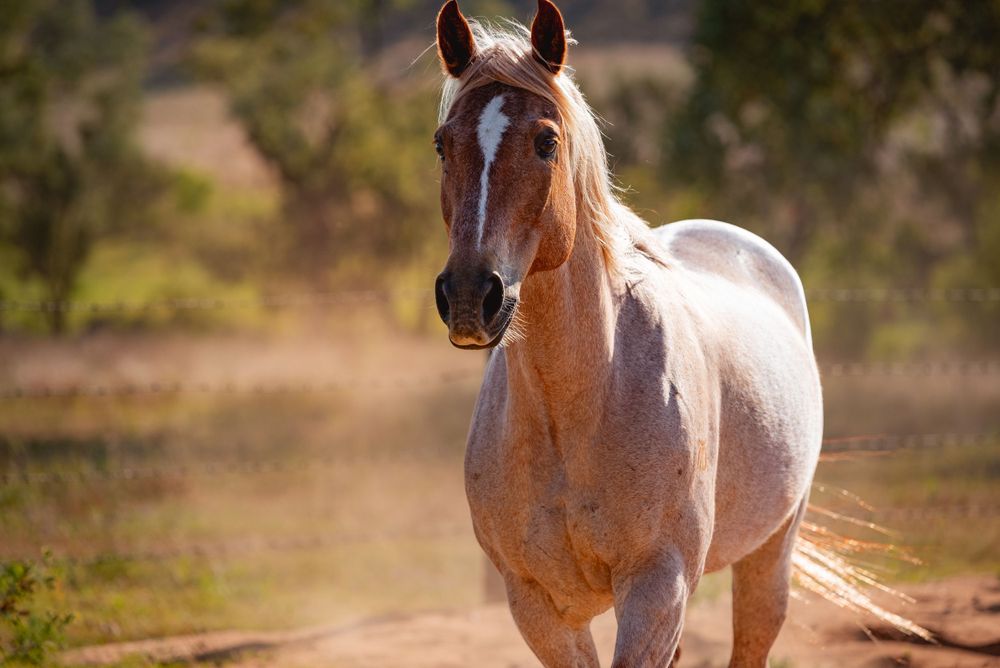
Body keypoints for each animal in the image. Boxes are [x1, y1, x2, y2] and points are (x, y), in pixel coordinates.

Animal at [430, 2, 824, 665]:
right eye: (442, 143)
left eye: (546, 141)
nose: (467, 296)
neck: (578, 408)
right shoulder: (537, 603)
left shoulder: (656, 585)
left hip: (770, 554)